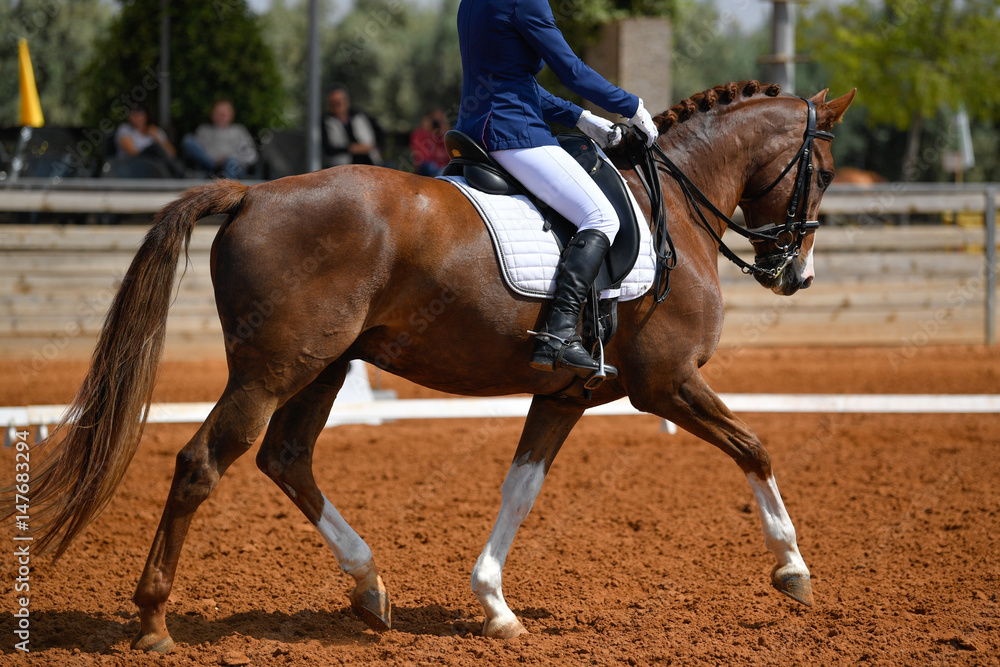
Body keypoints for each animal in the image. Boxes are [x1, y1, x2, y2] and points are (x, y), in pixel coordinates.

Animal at [12, 80, 854, 651]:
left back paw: (369, 586)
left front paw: (495, 604)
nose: (797, 275)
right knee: (201, 463)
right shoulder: (667, 382)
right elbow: (754, 446)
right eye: (823, 172)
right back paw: (155, 618)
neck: (670, 210)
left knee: (287, 457)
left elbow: (520, 489)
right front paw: (793, 568)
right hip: (271, 370)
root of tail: (252, 192)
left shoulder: (566, 393)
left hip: (324, 364)